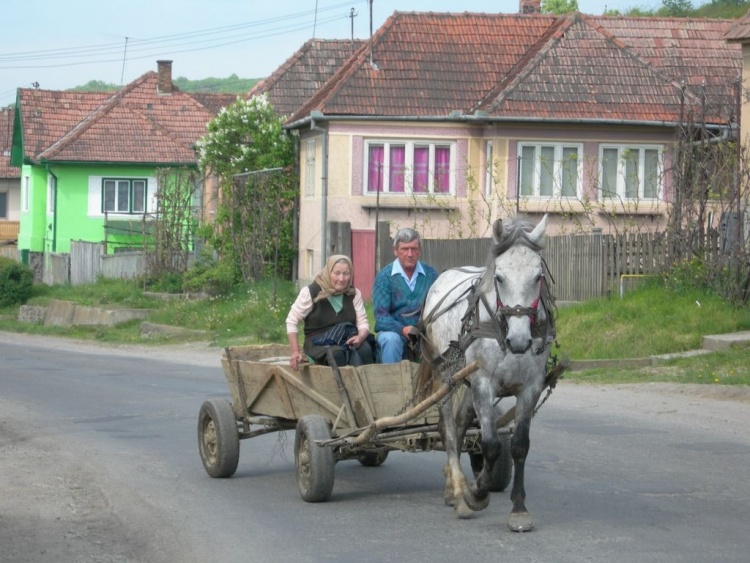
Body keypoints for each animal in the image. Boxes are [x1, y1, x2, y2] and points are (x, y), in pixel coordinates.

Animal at [420, 215, 560, 532]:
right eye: (500, 277)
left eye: (538, 277)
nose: (519, 340)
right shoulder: (484, 384)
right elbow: (492, 445)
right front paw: (477, 493)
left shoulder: (530, 387)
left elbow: (519, 445)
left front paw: (519, 509)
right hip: (445, 378)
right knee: (448, 429)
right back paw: (459, 491)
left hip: (467, 383)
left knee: (461, 424)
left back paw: (454, 487)